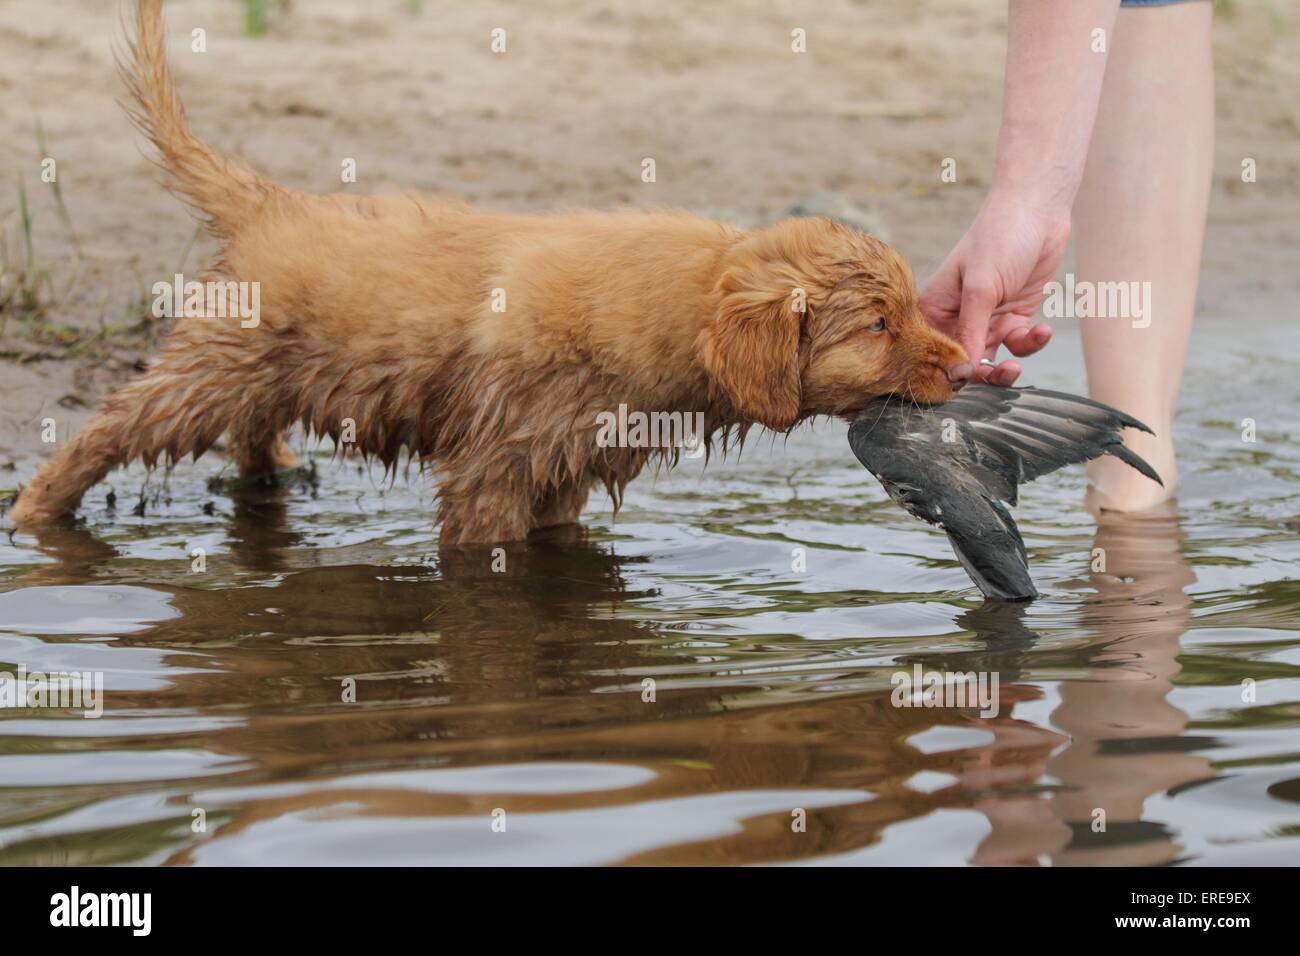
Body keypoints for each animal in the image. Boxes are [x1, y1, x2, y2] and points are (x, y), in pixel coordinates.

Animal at [10, 0, 972, 546]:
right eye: (879, 325)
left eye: (913, 308)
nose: (967, 367)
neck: (680, 303)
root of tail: (269, 202)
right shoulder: (496, 463)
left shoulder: (566, 464)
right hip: (212, 365)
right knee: (111, 428)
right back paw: (35, 511)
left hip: (260, 367)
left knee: (249, 428)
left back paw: (273, 473)